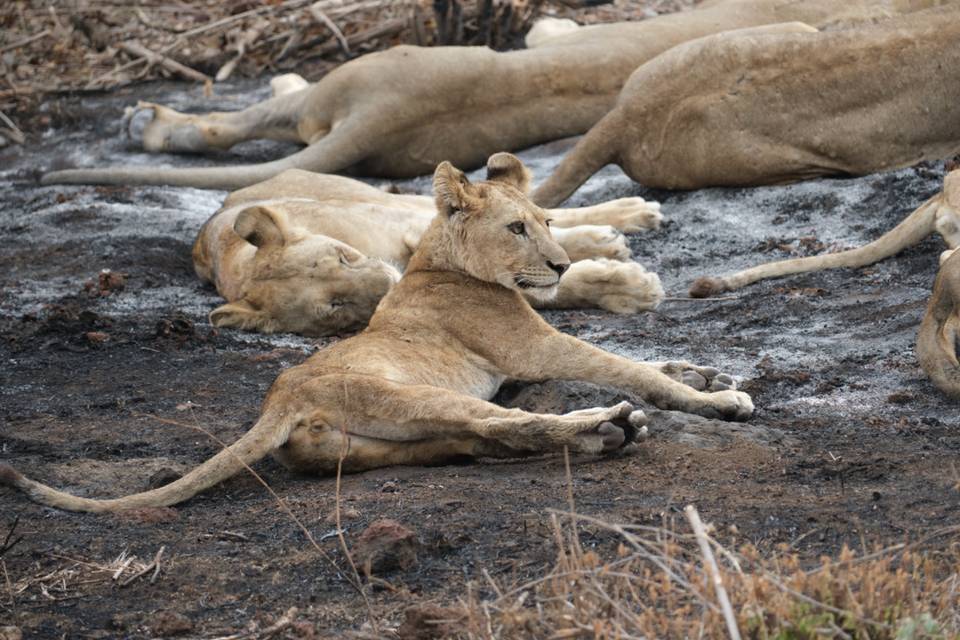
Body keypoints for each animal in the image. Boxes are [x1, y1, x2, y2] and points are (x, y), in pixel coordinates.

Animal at [197, 168, 665, 336]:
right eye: (334, 306)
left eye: (342, 256)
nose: (387, 283)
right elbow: (537, 283)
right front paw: (625, 286)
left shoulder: (408, 228)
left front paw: (627, 281)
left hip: (378, 198)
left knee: (545, 211)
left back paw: (626, 217)